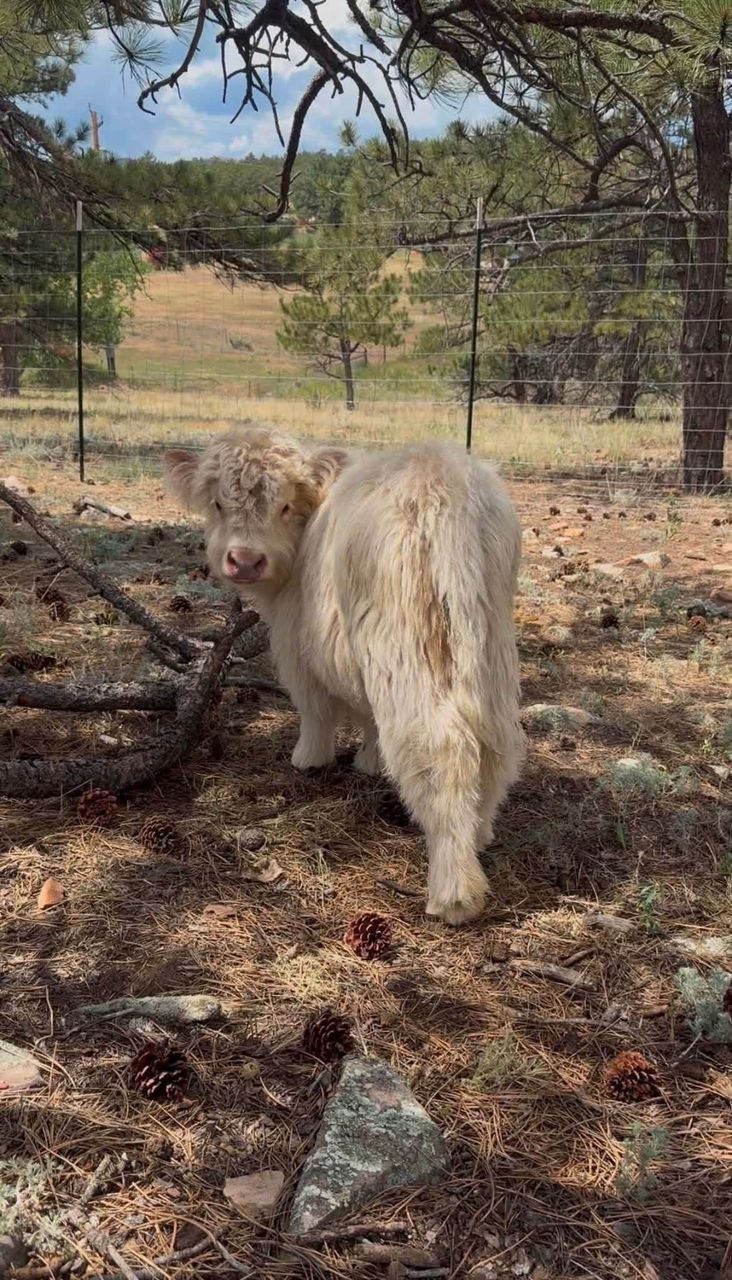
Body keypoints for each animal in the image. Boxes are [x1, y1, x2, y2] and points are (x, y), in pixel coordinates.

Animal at [165, 428, 525, 925]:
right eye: (218, 503)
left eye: (285, 506)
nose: (246, 560)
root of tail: (443, 480)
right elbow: (370, 718)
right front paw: (371, 762)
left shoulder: (299, 648)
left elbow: (315, 710)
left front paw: (309, 759)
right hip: (490, 647)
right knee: (496, 742)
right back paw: (481, 832)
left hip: (403, 643)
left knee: (439, 746)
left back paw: (454, 893)